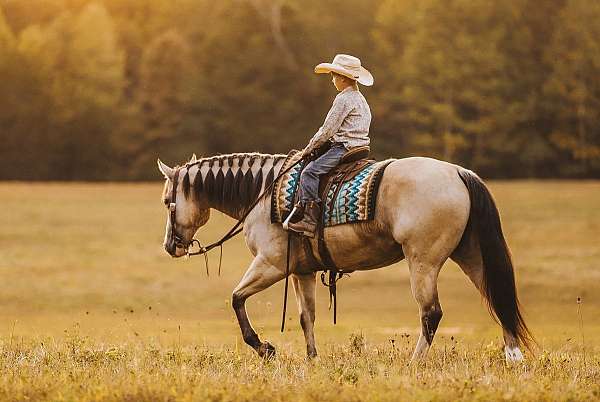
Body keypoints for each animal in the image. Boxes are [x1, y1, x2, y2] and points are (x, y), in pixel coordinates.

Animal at [157, 152, 532, 362]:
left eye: (167, 202)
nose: (170, 246)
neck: (263, 195)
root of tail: (457, 173)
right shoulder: (302, 271)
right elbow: (306, 317)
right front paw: (312, 359)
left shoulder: (271, 264)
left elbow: (236, 298)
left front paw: (265, 348)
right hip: (471, 256)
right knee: (497, 300)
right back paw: (513, 357)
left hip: (423, 262)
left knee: (431, 314)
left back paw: (415, 364)